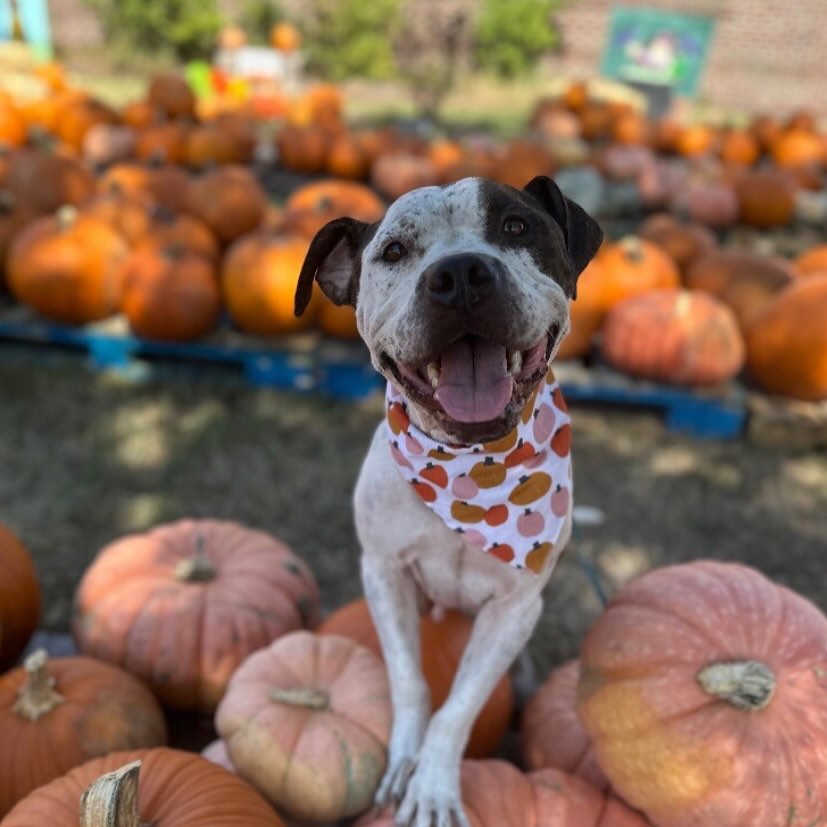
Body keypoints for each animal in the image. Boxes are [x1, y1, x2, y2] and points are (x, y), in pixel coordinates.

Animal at [298, 176, 600, 827]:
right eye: (393, 251)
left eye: (516, 226)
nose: (460, 274)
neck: (471, 473)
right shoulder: (383, 574)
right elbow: (411, 681)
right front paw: (403, 760)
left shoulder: (514, 609)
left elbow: (460, 705)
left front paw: (433, 785)